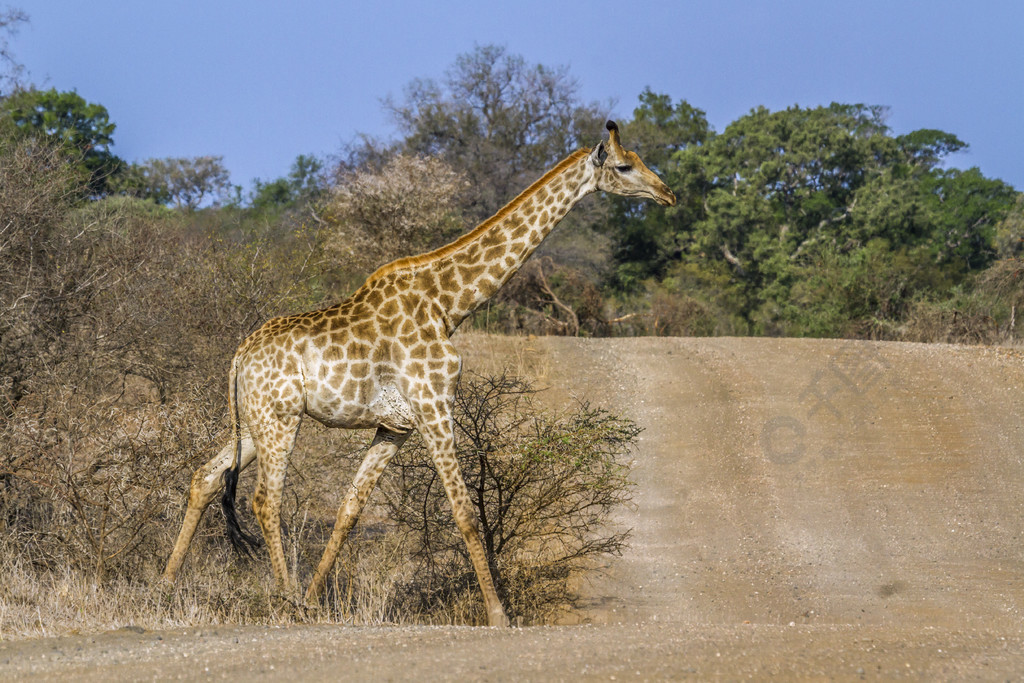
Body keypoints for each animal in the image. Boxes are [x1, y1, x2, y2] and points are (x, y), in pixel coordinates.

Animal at [163, 121, 675, 626]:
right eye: (625, 166)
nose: (667, 193)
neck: (449, 304)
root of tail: (239, 354)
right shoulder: (434, 406)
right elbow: (465, 512)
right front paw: (498, 615)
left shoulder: (396, 426)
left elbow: (350, 510)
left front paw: (313, 601)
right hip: (279, 417)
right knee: (265, 499)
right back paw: (282, 598)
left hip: (252, 421)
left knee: (205, 477)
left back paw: (168, 587)